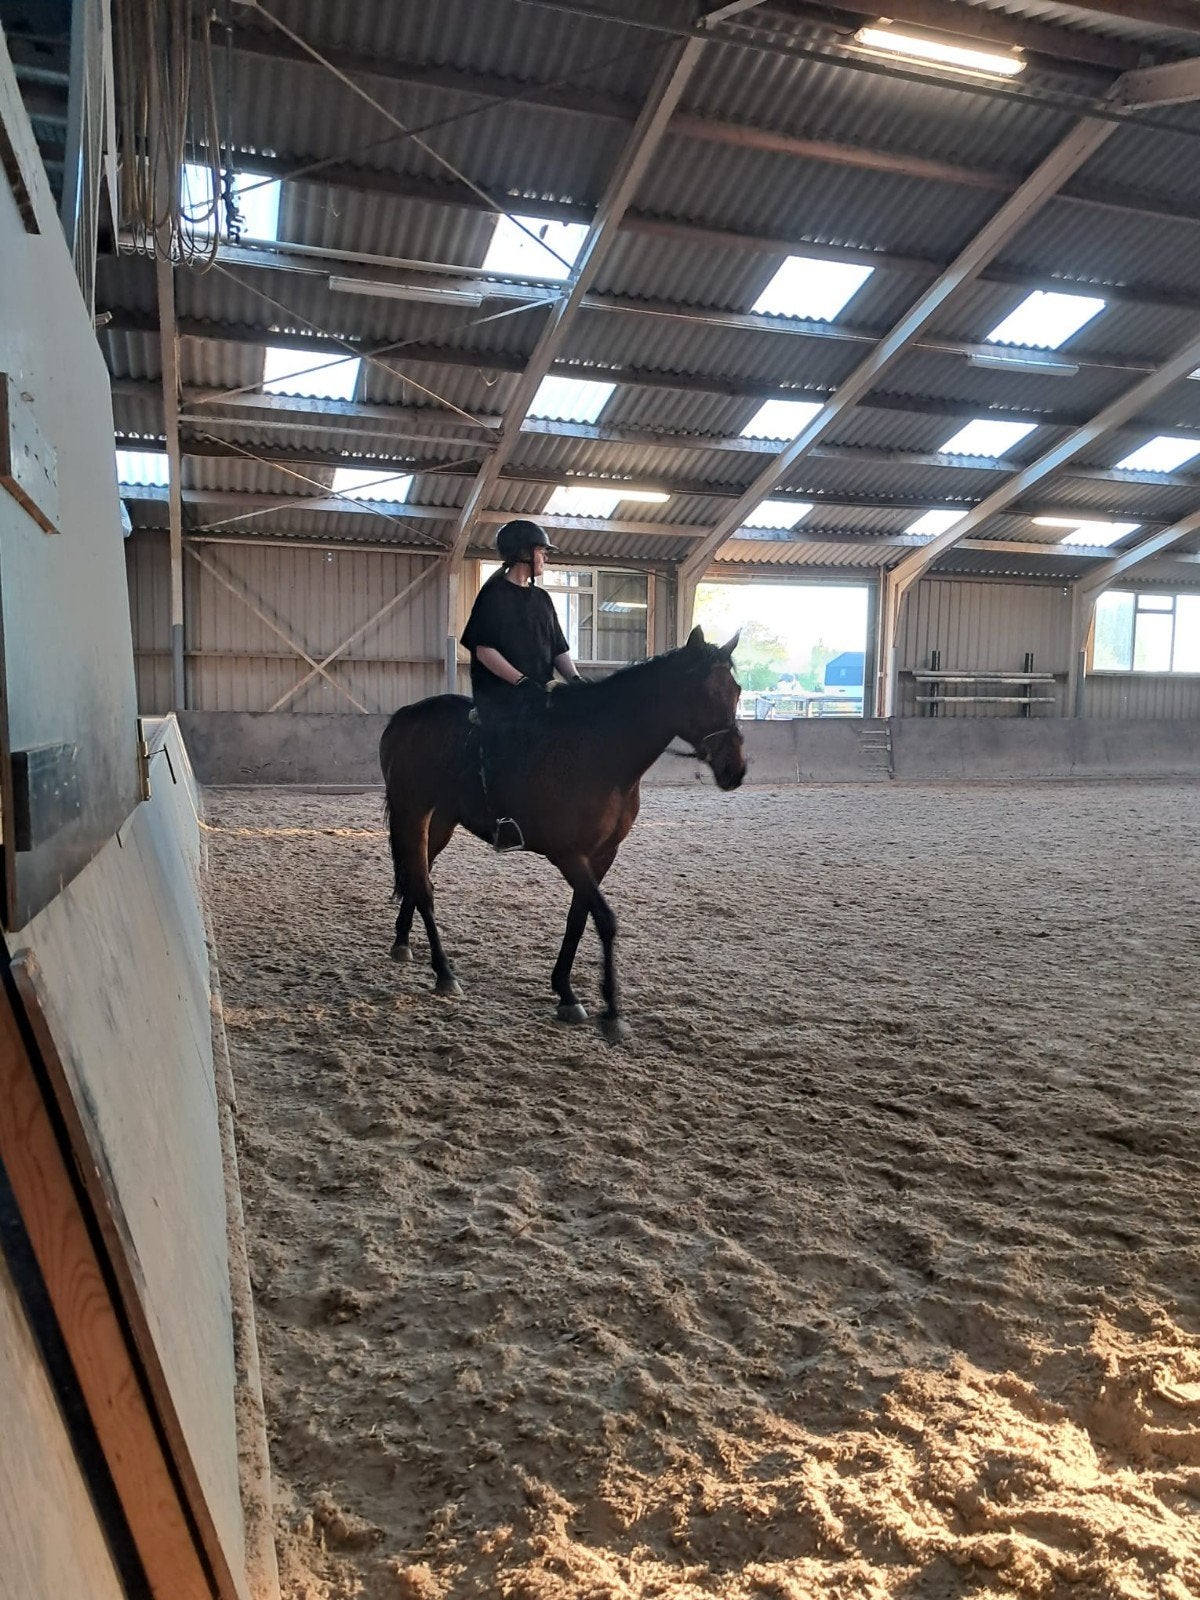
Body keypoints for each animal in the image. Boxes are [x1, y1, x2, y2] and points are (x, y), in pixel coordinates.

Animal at [378, 626, 746, 1041]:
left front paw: (566, 992)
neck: (600, 753)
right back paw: (444, 973)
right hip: (412, 813)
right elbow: (605, 919)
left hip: (439, 821)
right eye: (701, 693)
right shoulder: (569, 855)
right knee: (424, 888)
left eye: (736, 691)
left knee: (417, 874)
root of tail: (405, 717)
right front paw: (611, 1012)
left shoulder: (602, 855)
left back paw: (403, 942)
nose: (734, 770)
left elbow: (578, 918)